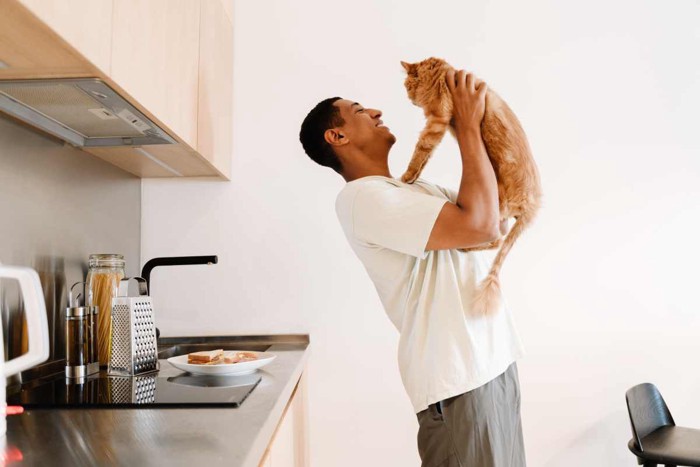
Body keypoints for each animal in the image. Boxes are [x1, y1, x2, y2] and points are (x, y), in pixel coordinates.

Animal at [400, 56, 540, 316]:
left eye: (406, 86)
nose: (408, 98)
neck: (440, 73)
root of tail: (534, 206)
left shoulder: (436, 121)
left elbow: (420, 152)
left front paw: (405, 177)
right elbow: (425, 158)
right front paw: (413, 178)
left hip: (496, 208)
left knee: (496, 240)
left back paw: (465, 249)